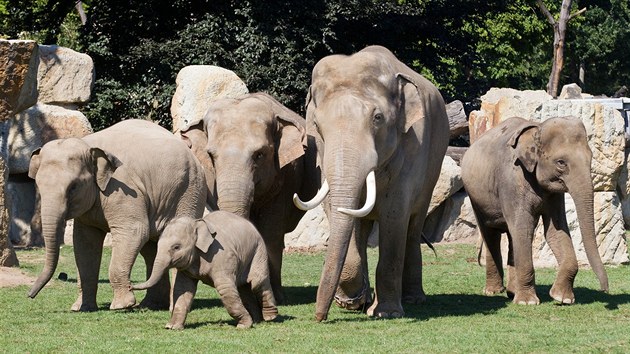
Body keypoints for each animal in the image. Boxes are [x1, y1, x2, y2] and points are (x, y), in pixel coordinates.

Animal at [27, 119, 207, 312]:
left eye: (73, 187)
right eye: (38, 185)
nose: (30, 295)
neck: (88, 145)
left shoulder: (123, 189)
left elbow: (134, 231)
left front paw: (121, 306)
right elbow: (84, 242)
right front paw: (81, 308)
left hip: (189, 192)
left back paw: (172, 308)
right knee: (151, 248)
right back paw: (151, 305)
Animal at [132, 210, 278, 330]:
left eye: (176, 247)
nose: (130, 286)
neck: (196, 224)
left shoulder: (222, 256)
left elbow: (225, 288)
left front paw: (243, 326)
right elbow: (183, 289)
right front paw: (171, 327)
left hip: (258, 251)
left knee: (257, 283)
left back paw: (270, 317)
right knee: (243, 288)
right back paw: (257, 320)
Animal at [294, 45, 452, 320]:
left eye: (378, 118)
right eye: (317, 125)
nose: (318, 317)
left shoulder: (412, 147)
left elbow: (394, 213)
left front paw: (386, 313)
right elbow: (337, 209)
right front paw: (351, 303)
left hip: (434, 163)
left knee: (413, 226)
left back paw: (413, 299)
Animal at [462, 116, 608, 304]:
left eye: (591, 159)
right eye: (561, 163)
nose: (604, 289)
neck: (537, 129)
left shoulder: (554, 195)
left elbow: (555, 230)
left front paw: (563, 298)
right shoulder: (512, 180)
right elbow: (524, 228)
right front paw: (528, 302)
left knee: (511, 237)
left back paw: (512, 292)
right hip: (476, 198)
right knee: (491, 234)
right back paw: (493, 291)